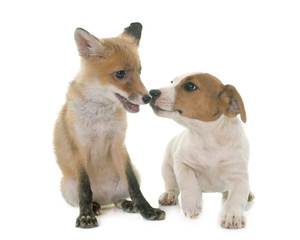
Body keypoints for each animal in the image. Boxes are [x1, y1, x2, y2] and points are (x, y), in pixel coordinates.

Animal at [149, 72, 253, 229]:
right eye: (172, 82)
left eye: (190, 86)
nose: (151, 92)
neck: (207, 138)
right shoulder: (181, 163)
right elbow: (188, 181)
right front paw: (192, 203)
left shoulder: (239, 176)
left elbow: (236, 196)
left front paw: (232, 214)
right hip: (166, 166)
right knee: (172, 184)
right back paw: (169, 195)